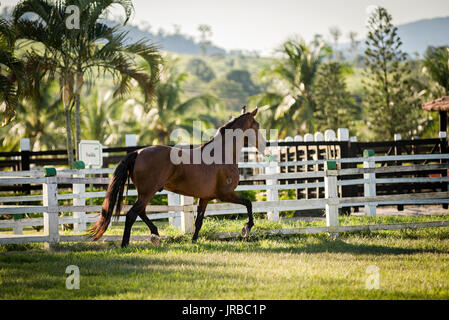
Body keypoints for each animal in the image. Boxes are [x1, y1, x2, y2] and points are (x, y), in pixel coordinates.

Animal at [89, 107, 268, 248]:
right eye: (257, 126)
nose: (265, 145)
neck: (221, 155)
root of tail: (138, 152)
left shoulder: (204, 198)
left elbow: (199, 222)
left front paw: (194, 241)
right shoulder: (226, 194)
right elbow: (249, 203)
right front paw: (247, 228)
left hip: (145, 193)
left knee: (141, 212)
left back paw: (155, 234)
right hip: (148, 192)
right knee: (132, 214)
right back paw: (126, 243)